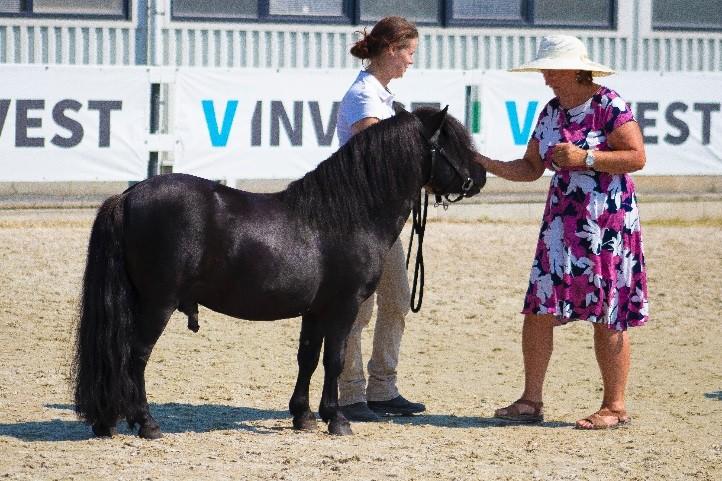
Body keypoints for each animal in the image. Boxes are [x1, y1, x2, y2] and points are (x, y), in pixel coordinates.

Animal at [71, 107, 484, 436]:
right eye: (455, 143)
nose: (480, 175)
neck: (347, 215)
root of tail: (128, 196)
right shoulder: (344, 306)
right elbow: (334, 360)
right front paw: (337, 420)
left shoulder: (315, 310)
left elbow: (308, 357)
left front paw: (304, 417)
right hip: (158, 304)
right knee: (136, 356)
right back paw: (147, 423)